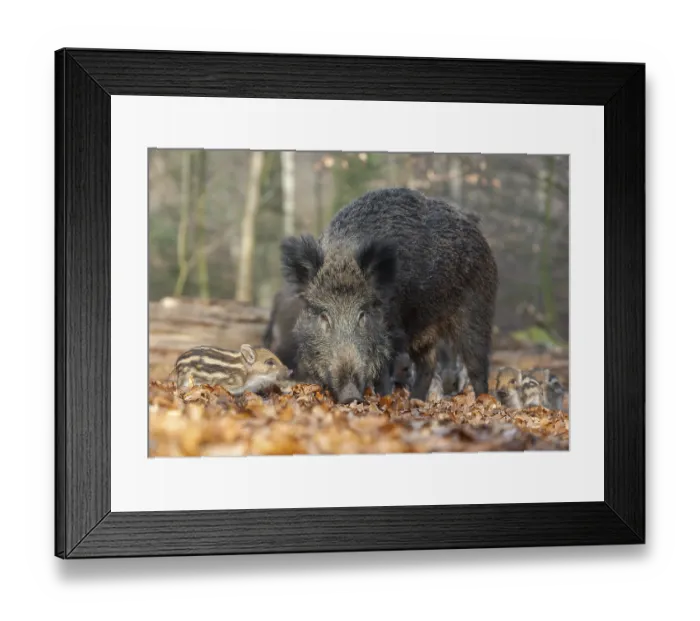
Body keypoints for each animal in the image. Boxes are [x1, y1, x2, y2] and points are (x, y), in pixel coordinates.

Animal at [280, 187, 498, 404]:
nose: (351, 396)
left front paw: (383, 399)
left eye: (362, 315)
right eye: (324, 316)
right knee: (428, 365)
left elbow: (383, 375)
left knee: (477, 366)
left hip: (477, 311)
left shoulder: (391, 332)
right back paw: (415, 401)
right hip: (424, 331)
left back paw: (483, 399)